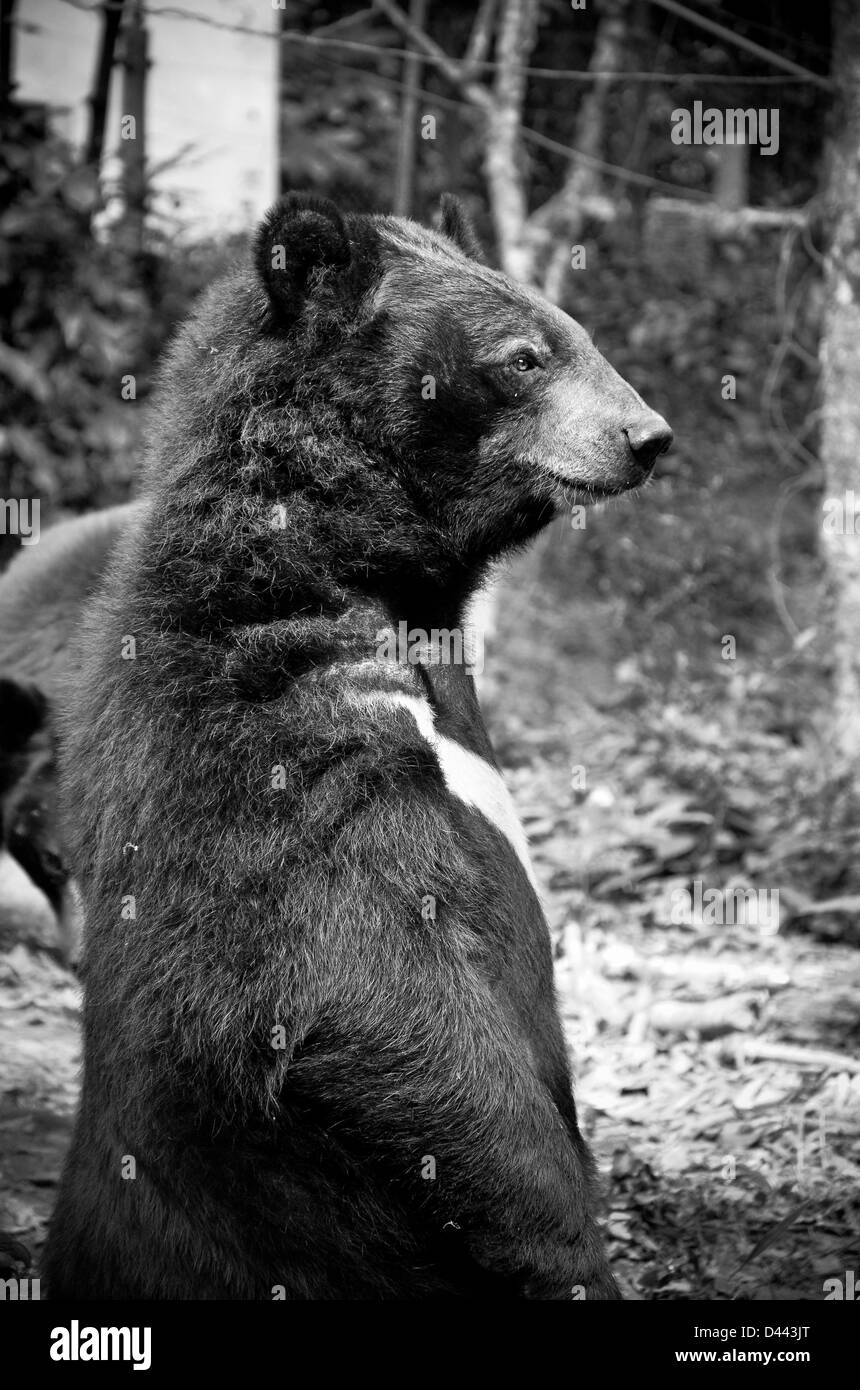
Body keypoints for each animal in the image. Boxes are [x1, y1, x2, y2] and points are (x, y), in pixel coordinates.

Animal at [42, 198, 672, 1301]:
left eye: (575, 333)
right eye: (523, 357)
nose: (647, 436)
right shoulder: (276, 749)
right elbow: (363, 988)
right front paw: (568, 1249)